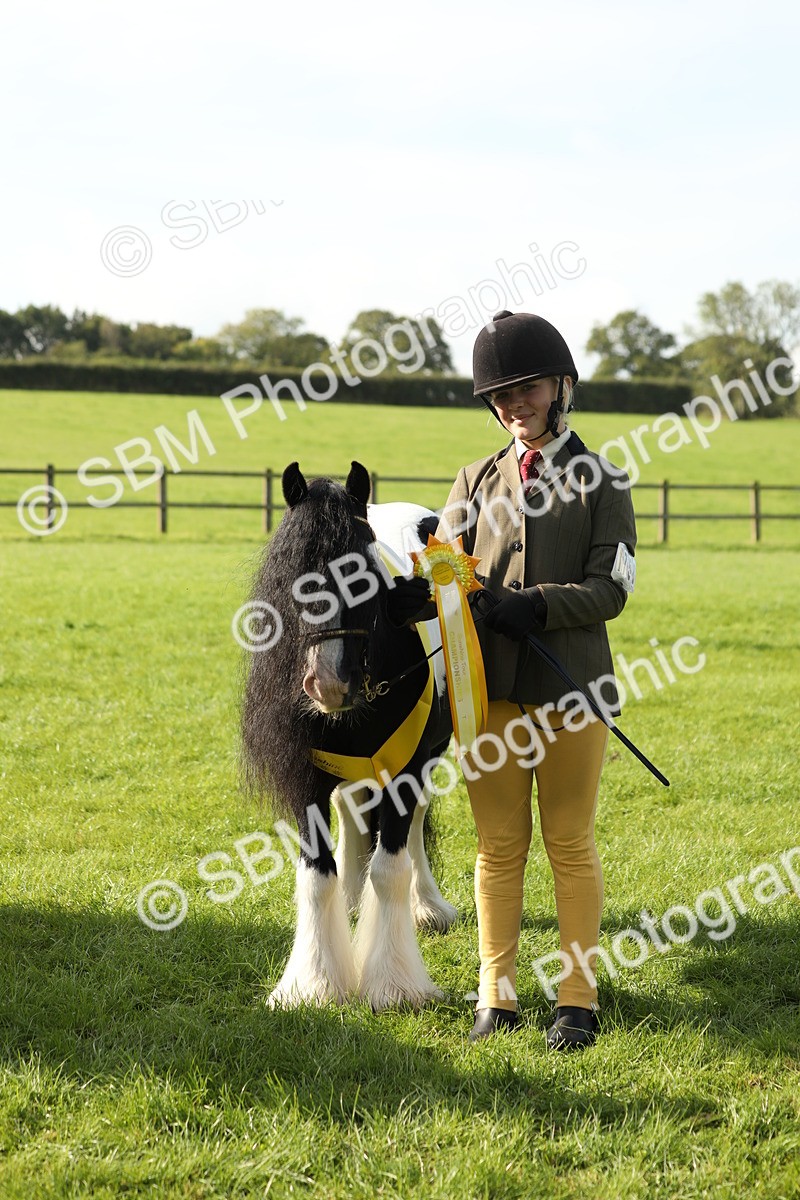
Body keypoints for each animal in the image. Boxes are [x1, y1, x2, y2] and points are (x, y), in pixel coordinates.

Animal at [241, 460, 457, 1009]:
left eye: (361, 574)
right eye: (291, 573)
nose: (329, 682)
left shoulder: (407, 768)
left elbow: (391, 866)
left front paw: (395, 984)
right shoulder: (307, 777)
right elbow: (318, 875)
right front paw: (314, 983)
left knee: (414, 827)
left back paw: (427, 906)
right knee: (351, 812)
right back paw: (355, 900)